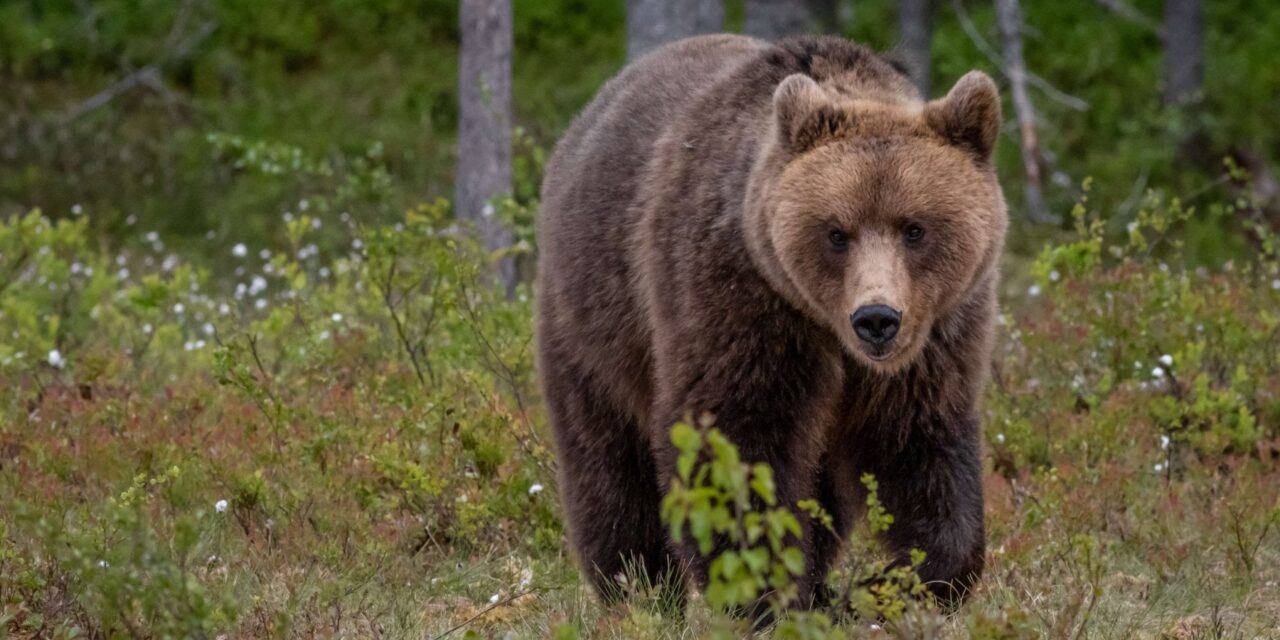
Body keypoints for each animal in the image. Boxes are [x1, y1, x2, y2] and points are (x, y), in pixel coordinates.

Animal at [535, 33, 1003, 609]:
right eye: (836, 232)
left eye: (914, 228)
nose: (876, 319)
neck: (827, 329)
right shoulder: (739, 297)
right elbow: (735, 436)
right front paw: (762, 590)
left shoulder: (937, 335)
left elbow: (919, 444)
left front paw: (893, 586)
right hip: (596, 315)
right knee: (608, 458)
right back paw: (637, 587)